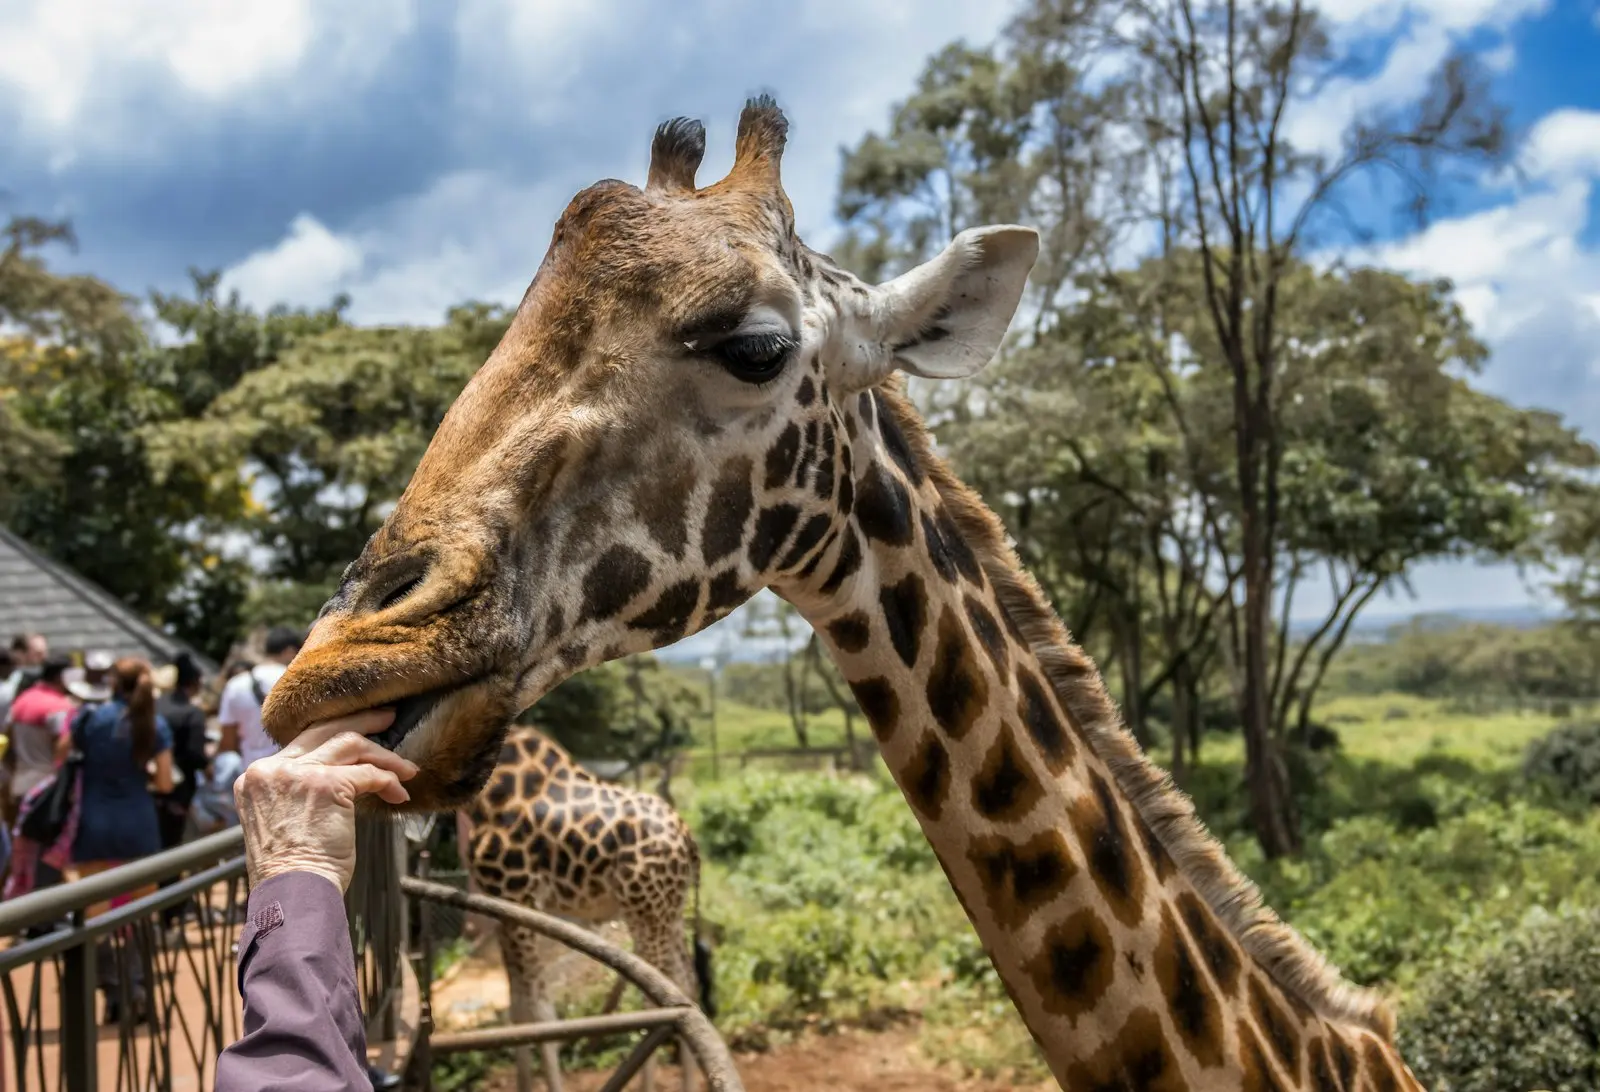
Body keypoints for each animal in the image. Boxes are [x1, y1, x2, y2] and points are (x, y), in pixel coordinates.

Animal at [465, 723, 712, 1092]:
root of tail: (688, 840)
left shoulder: (518, 896)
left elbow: (540, 1011)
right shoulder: (499, 908)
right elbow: (518, 1007)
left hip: (644, 909)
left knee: (656, 1001)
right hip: (670, 909)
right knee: (686, 982)